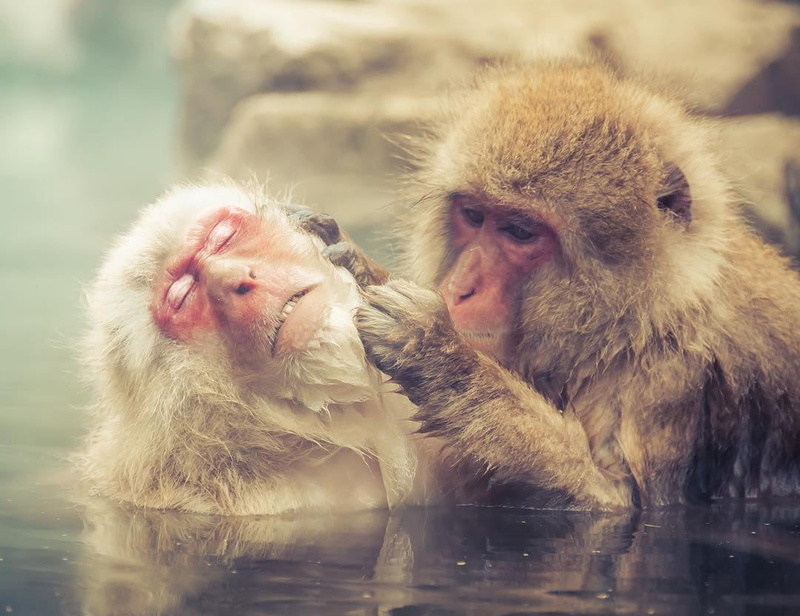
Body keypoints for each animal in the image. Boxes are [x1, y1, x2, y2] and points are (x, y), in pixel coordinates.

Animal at [344, 58, 800, 510]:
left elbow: (618, 500)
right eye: (473, 215)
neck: (636, 322)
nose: (458, 289)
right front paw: (360, 267)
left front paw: (437, 353)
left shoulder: (671, 372)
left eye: (520, 232)